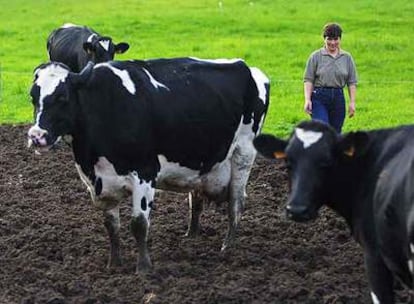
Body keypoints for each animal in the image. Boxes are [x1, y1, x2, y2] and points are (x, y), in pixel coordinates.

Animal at [27, 56, 270, 270]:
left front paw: (143, 267)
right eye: (32, 97)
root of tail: (248, 67)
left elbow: (139, 224)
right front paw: (113, 264)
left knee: (236, 202)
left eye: (62, 98)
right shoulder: (101, 183)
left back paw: (227, 247)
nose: (37, 136)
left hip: (243, 153)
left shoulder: (144, 172)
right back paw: (191, 235)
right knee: (196, 199)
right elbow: (111, 226)